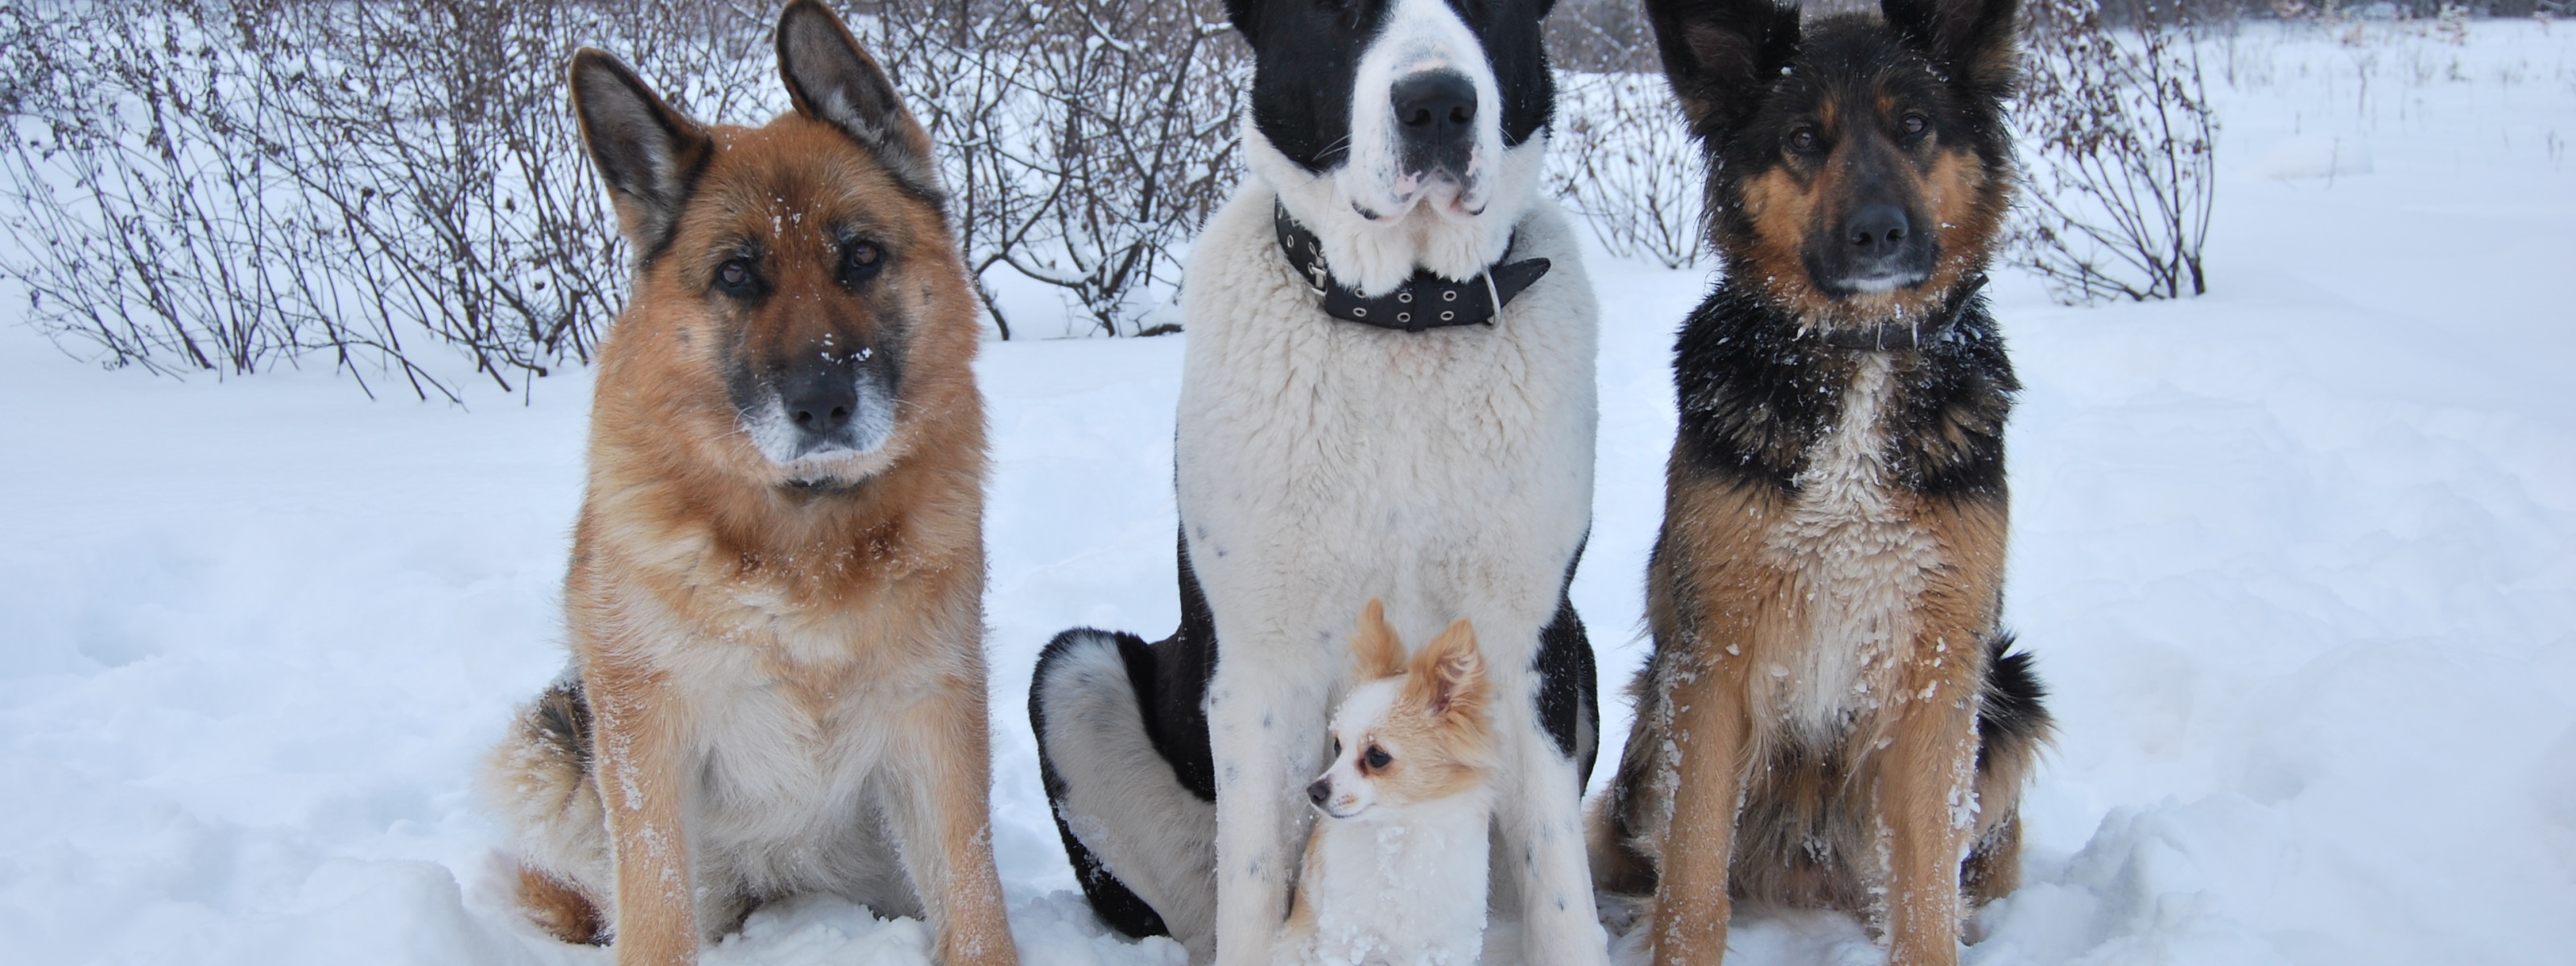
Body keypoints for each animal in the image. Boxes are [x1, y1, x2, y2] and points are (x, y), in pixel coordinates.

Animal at [484, 3, 1014, 963]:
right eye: (736, 274)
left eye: (860, 256)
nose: (823, 403)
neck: (804, 533)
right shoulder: (646, 736)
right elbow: (654, 907)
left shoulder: (934, 716)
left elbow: (973, 893)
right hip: (548, 745)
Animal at [1030, 2, 1607, 966]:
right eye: (1339, 13)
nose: (1437, 104)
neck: (1405, 323)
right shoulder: (1261, 662)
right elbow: (1261, 879)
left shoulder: (1530, 639)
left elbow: (1561, 888)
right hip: (1074, 675)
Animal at [1587, 2, 2050, 966]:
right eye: (1804, 138)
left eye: (1914, 124)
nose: (1877, 232)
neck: (1855, 354)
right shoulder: (1710, 659)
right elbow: (1693, 869)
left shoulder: (1938, 663)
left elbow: (1924, 886)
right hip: (1646, 731)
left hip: (2011, 692)